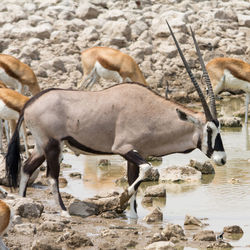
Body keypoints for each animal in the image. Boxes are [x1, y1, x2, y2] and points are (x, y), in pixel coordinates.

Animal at [4, 23, 227, 219]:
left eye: (219, 129)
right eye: (208, 130)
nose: (223, 159)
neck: (151, 111)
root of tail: (30, 103)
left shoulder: (135, 153)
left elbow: (136, 180)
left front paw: (133, 217)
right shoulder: (123, 149)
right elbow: (146, 170)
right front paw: (120, 200)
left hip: (41, 146)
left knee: (26, 168)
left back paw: (24, 202)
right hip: (51, 145)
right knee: (51, 177)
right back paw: (63, 211)